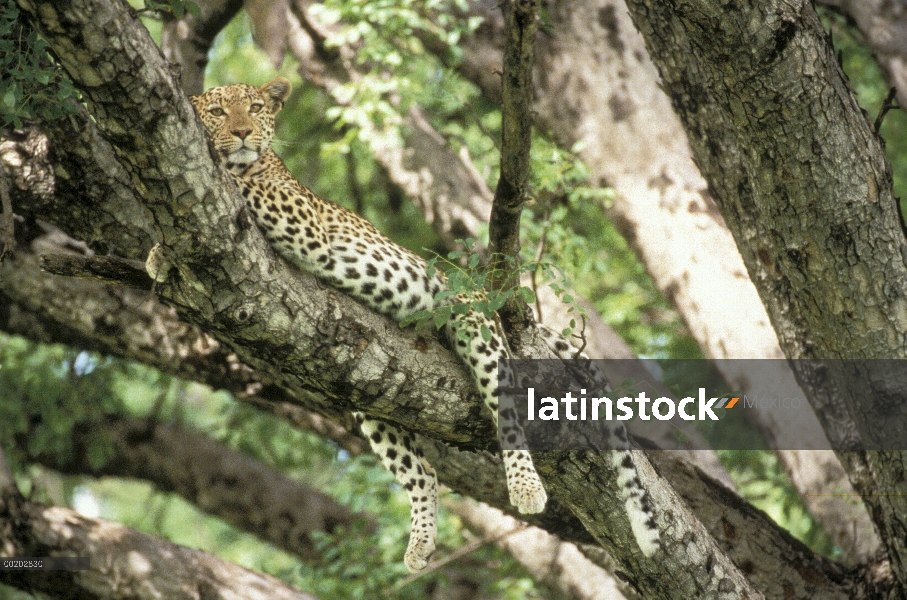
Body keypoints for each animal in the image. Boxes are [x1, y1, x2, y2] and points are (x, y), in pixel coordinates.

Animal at [190, 77, 660, 568]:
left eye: (255, 107)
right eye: (219, 112)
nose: (242, 133)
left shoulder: (301, 221)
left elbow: (244, 184)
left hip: (476, 328)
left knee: (507, 415)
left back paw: (526, 487)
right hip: (370, 399)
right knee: (426, 472)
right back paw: (419, 544)